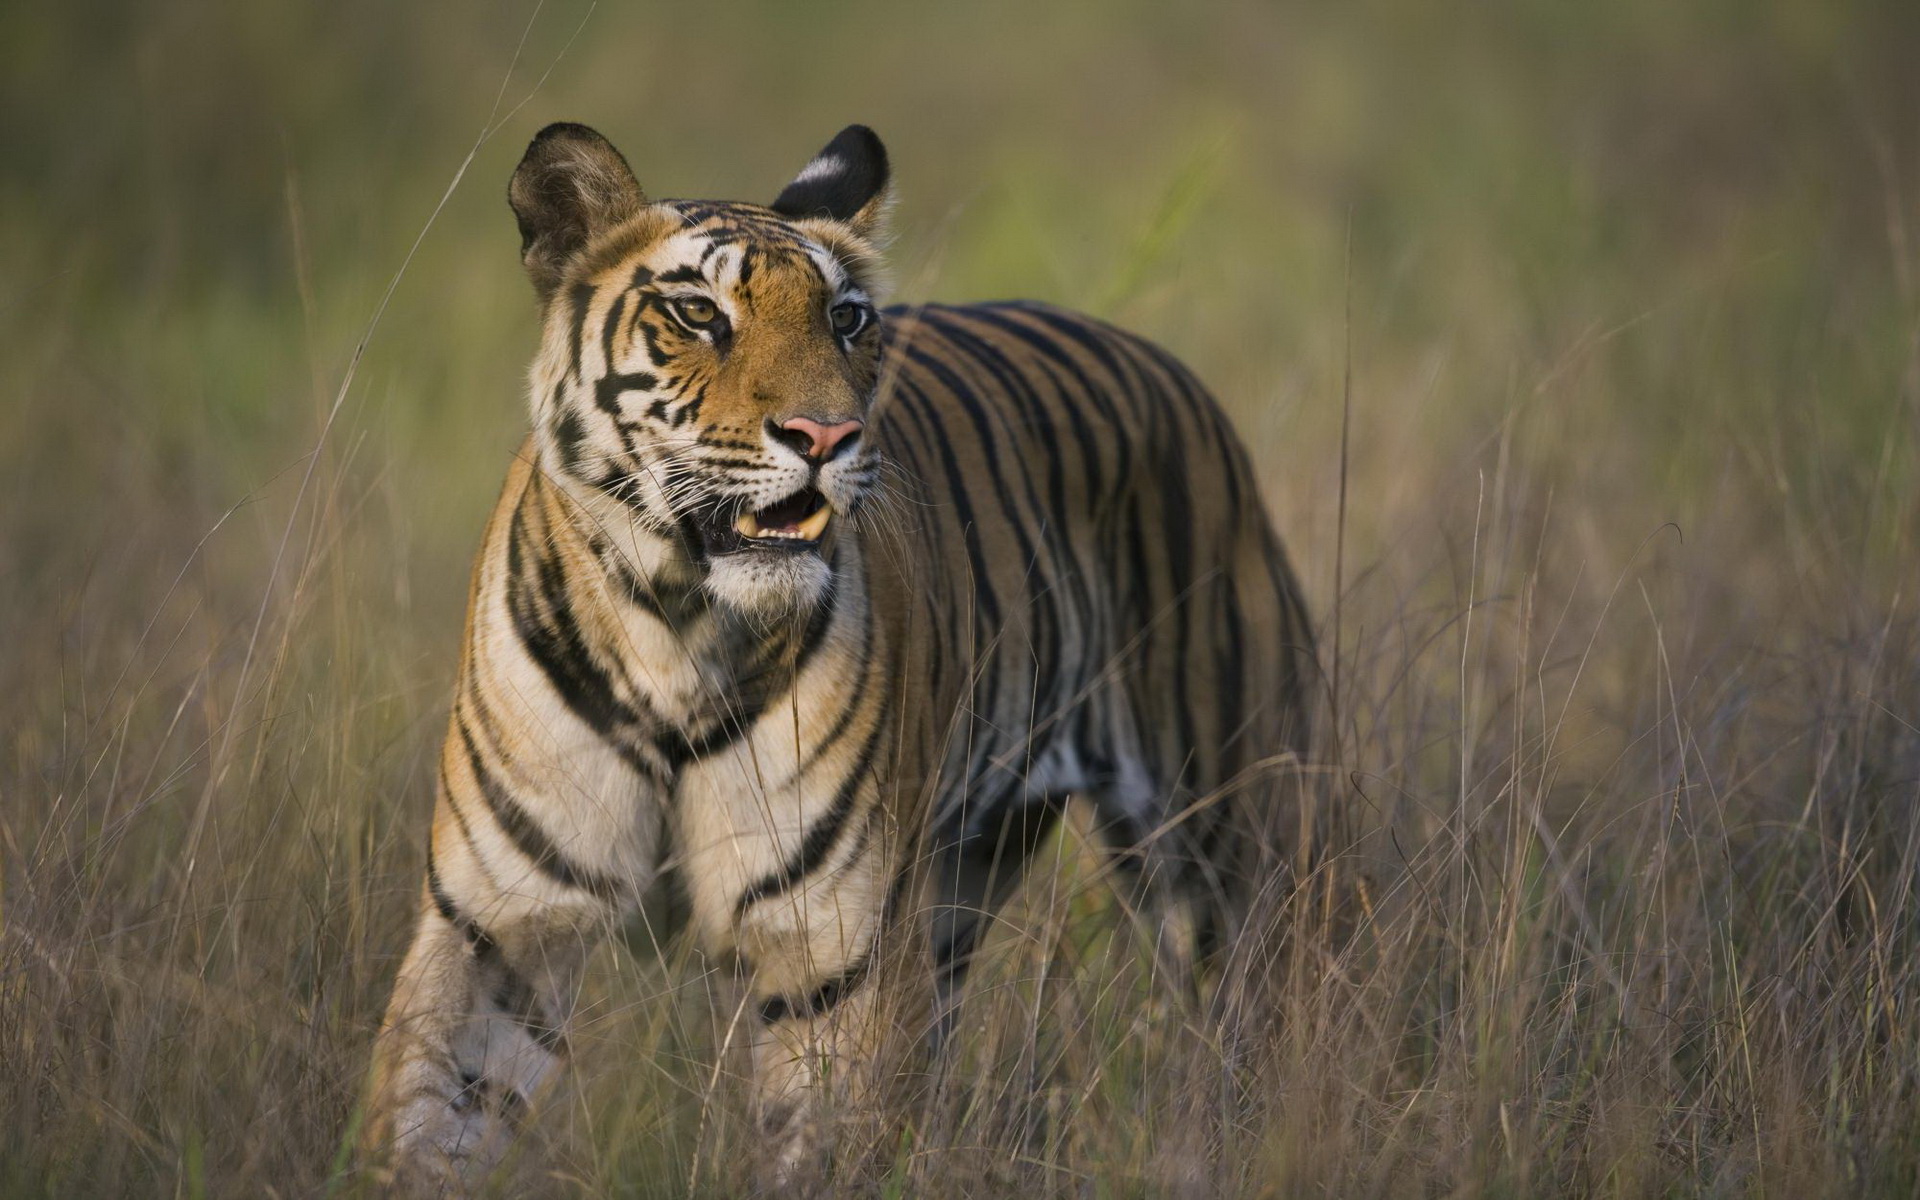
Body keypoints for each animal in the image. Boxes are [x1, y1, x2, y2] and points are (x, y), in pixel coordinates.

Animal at [362, 119, 1320, 1190]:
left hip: (1224, 836)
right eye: (699, 313)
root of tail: (1165, 369)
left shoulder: (835, 956)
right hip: (962, 882)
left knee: (1256, 1012)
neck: (675, 631)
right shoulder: (500, 926)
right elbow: (427, 1121)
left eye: (848, 319)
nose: (825, 435)